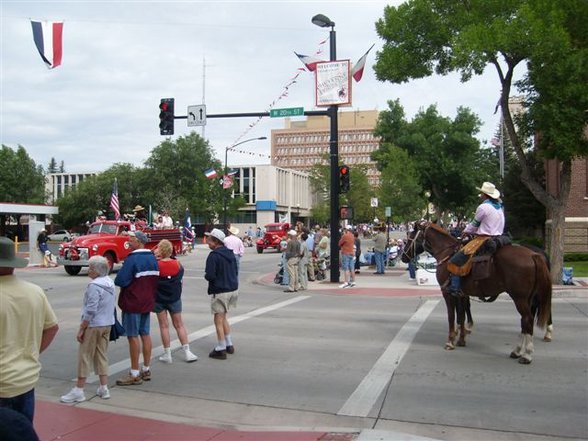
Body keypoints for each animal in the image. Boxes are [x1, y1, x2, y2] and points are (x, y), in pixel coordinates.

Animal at [402, 222, 552, 362]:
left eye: (410, 238)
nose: (403, 257)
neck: (446, 253)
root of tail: (534, 254)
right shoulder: (462, 294)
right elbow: (461, 315)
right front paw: (461, 339)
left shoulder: (448, 294)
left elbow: (452, 316)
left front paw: (451, 341)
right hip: (528, 298)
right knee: (526, 320)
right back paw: (518, 351)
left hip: (520, 298)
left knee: (527, 319)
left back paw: (527, 354)